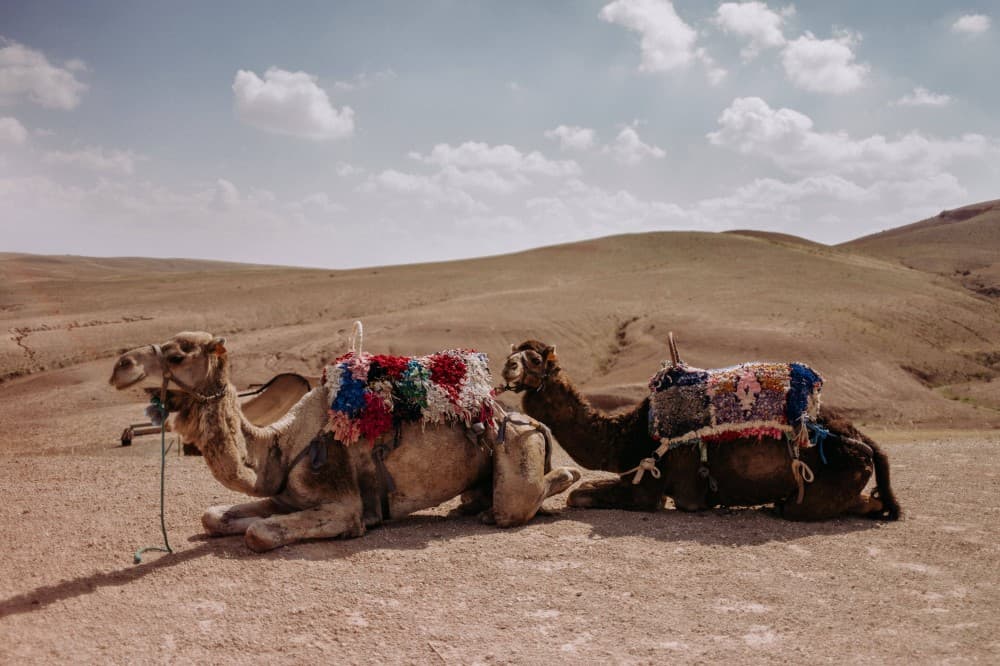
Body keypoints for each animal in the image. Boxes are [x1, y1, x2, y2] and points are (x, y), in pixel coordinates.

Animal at [109, 331, 580, 551]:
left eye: (177, 355)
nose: (120, 366)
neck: (280, 445)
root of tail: (525, 418)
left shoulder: (341, 501)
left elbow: (260, 533)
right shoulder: (284, 496)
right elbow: (212, 517)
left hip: (517, 443)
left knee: (519, 501)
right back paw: (472, 505)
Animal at [501, 340, 900, 521]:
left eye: (533, 358)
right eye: (513, 354)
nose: (507, 368)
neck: (627, 435)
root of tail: (865, 442)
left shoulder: (649, 488)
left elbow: (578, 495)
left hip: (821, 487)